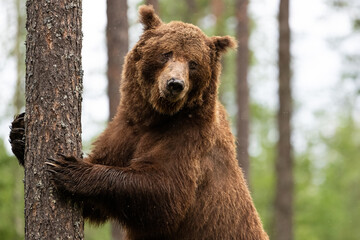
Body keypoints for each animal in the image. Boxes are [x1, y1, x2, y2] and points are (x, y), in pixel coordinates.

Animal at [9, 4, 268, 240]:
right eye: (166, 53)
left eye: (193, 63)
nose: (175, 84)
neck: (155, 116)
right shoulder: (126, 129)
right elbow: (95, 202)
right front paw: (20, 133)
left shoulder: (188, 136)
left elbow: (165, 193)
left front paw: (69, 168)